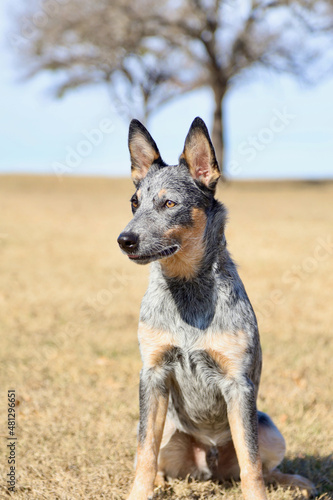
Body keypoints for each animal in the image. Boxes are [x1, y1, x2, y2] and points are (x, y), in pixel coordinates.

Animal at [116, 118, 314, 500]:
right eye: (134, 202)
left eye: (169, 203)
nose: (125, 240)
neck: (188, 293)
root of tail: (209, 464)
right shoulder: (153, 375)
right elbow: (145, 452)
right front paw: (139, 493)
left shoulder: (238, 384)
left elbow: (251, 463)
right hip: (165, 426)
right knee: (152, 456)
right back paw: (163, 483)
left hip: (268, 426)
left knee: (263, 468)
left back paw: (295, 482)